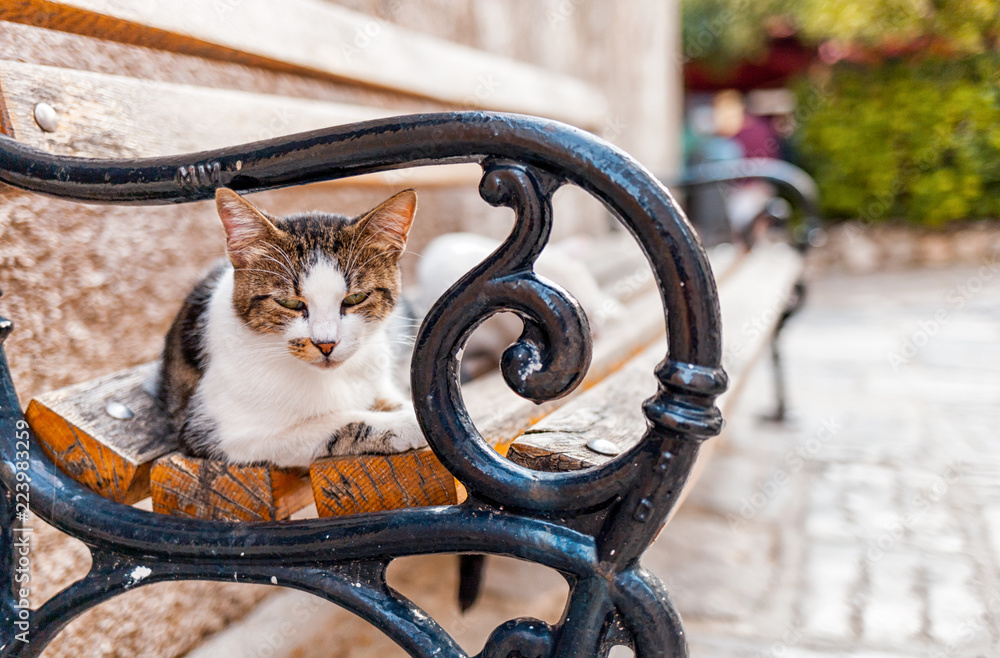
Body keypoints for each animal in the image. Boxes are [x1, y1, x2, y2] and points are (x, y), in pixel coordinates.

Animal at [156, 188, 426, 466]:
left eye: (355, 298)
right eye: (289, 303)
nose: (326, 344)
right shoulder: (224, 433)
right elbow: (336, 422)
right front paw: (406, 423)